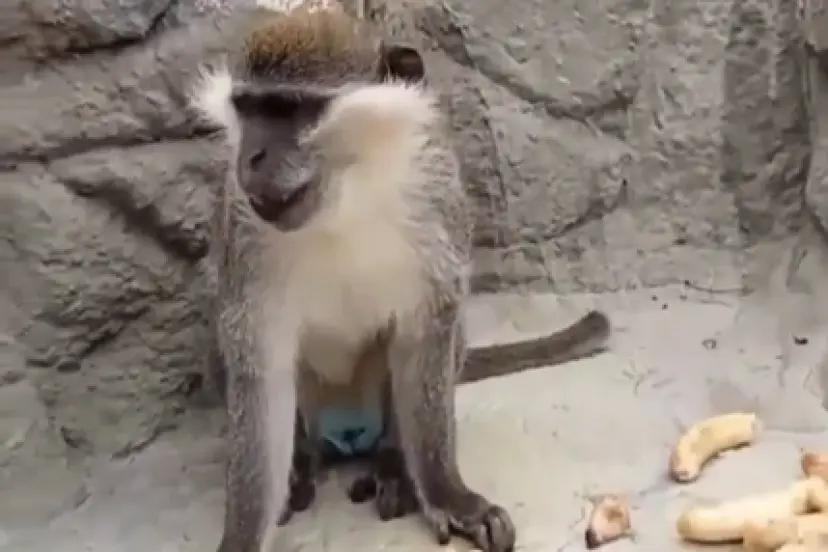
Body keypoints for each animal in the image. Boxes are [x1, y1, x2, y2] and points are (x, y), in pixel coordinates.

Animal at [190, 7, 611, 552]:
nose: (252, 157)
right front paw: (242, 535)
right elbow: (261, 370)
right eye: (249, 109)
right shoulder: (243, 232)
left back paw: (392, 462)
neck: (348, 195)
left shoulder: (436, 196)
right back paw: (303, 462)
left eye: (289, 109)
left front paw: (446, 491)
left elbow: (425, 335)